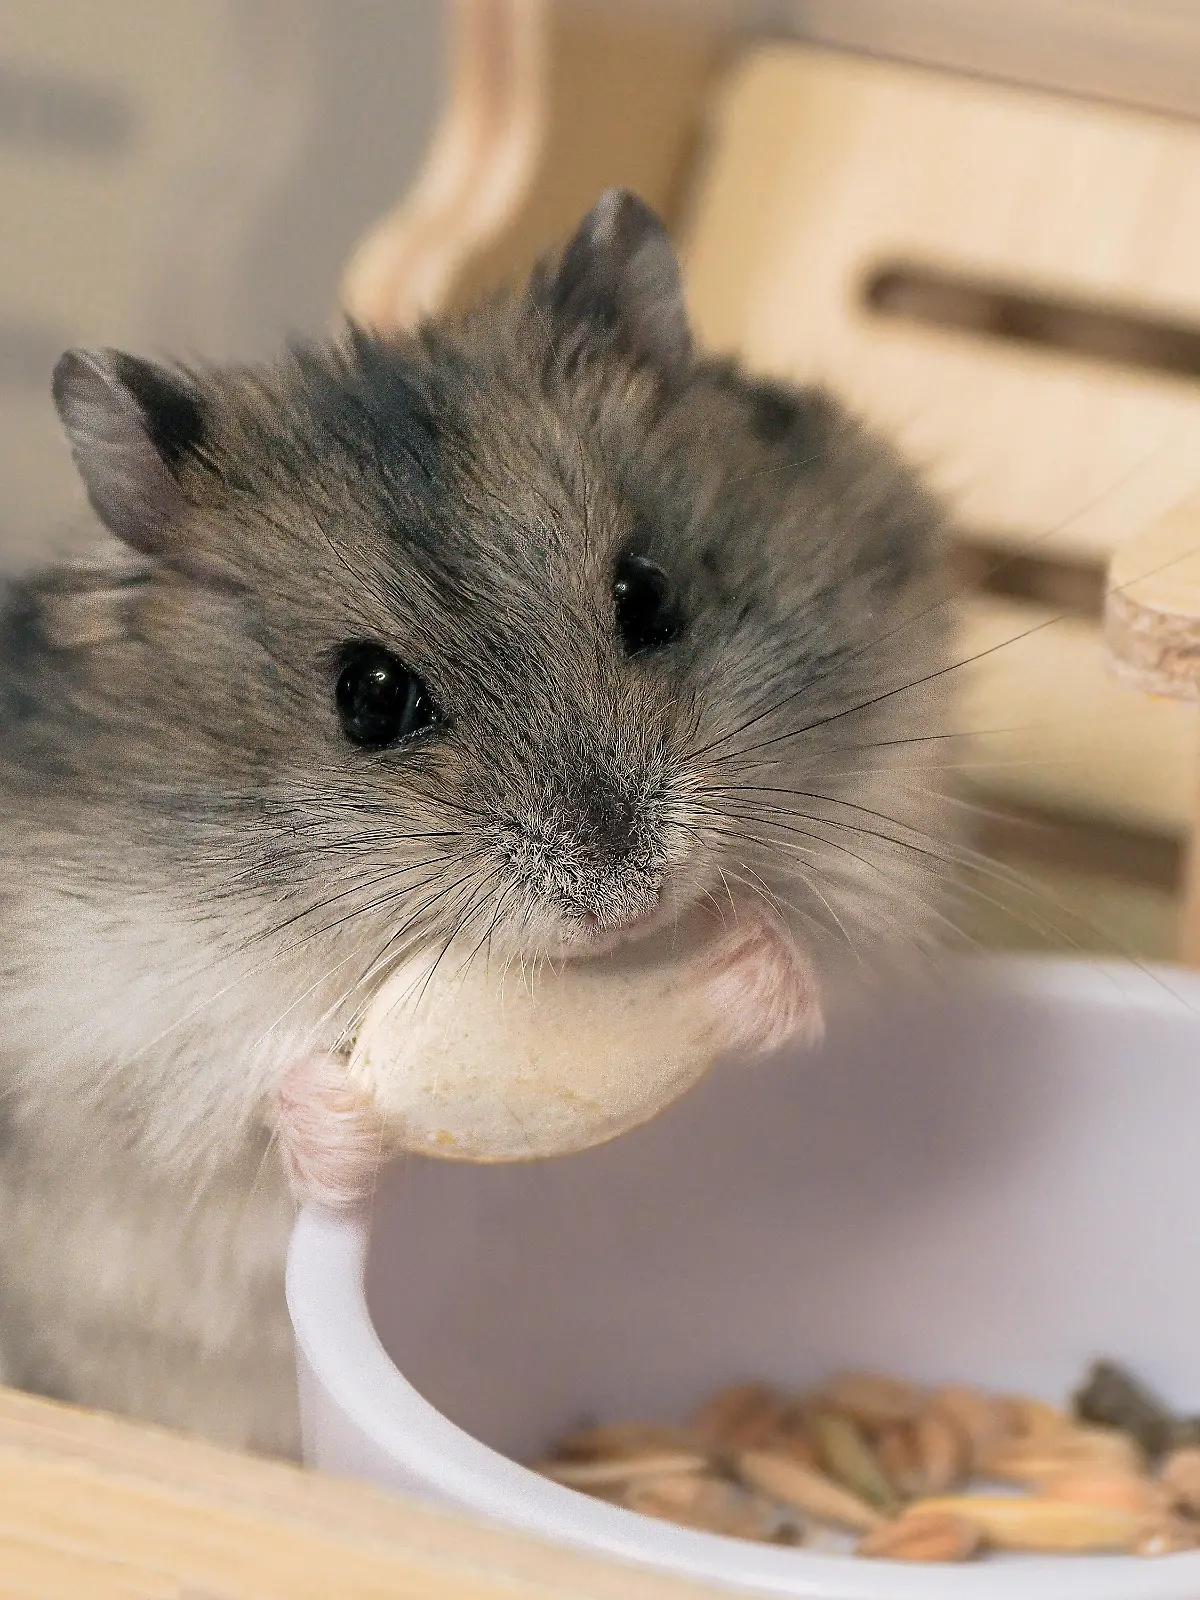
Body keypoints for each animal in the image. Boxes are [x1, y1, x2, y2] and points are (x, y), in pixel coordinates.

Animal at [0, 190, 954, 1454]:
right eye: (367, 697)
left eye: (649, 594)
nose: (625, 897)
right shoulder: (93, 1035)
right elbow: (237, 1101)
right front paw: (345, 1122)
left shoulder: (889, 829)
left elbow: (822, 953)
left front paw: (748, 958)